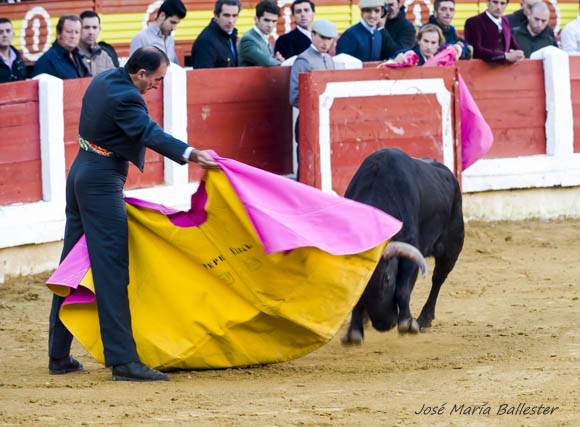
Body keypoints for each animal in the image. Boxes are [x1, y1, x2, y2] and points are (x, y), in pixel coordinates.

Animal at [342, 149, 464, 346]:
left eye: (387, 279)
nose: (384, 324)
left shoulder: (410, 251)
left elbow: (402, 289)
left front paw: (407, 322)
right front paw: (354, 330)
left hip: (451, 248)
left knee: (438, 279)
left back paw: (424, 319)